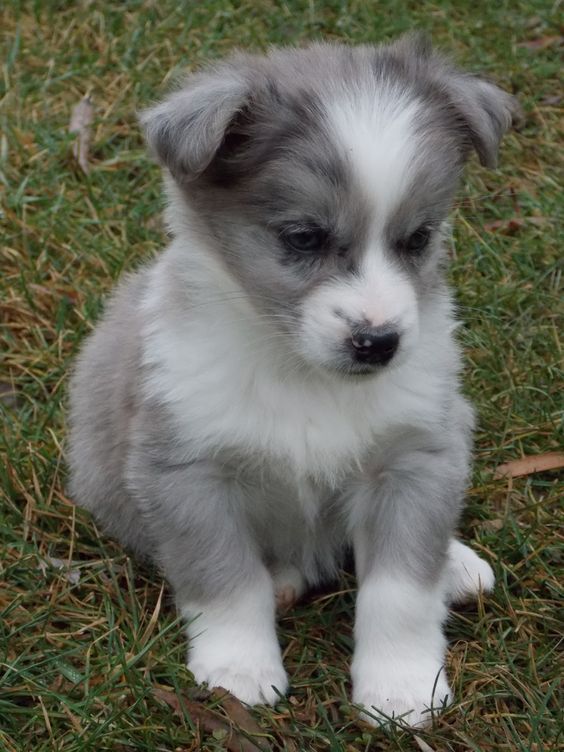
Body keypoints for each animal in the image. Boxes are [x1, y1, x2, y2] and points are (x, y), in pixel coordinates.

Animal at [68, 36, 516, 728]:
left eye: (418, 238)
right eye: (303, 237)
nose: (379, 343)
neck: (303, 376)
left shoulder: (415, 459)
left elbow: (400, 592)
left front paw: (402, 686)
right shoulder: (186, 474)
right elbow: (227, 581)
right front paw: (238, 672)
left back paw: (454, 565)